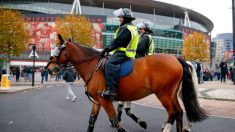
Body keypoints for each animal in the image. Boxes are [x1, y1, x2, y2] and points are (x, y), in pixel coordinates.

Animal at [46, 34, 207, 132]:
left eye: (58, 50)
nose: (48, 68)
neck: (94, 65)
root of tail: (177, 59)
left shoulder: (105, 100)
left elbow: (116, 119)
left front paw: (133, 122)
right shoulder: (97, 101)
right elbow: (92, 121)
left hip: (164, 94)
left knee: (173, 112)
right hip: (172, 94)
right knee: (179, 111)